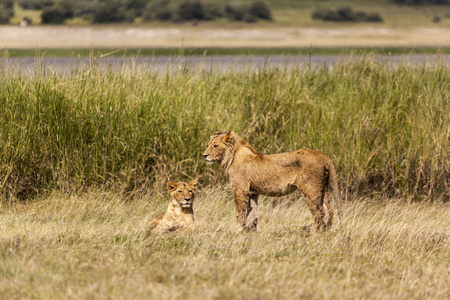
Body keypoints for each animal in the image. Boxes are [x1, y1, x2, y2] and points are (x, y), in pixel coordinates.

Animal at [202, 131, 342, 232]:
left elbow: (240, 212)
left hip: (310, 189)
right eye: (207, 144)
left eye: (215, 146)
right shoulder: (252, 192)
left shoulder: (240, 189)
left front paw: (238, 230)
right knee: (329, 211)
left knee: (319, 213)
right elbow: (252, 214)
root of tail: (324, 156)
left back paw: (313, 232)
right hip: (322, 188)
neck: (230, 158)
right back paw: (325, 231)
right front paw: (251, 232)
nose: (204, 155)